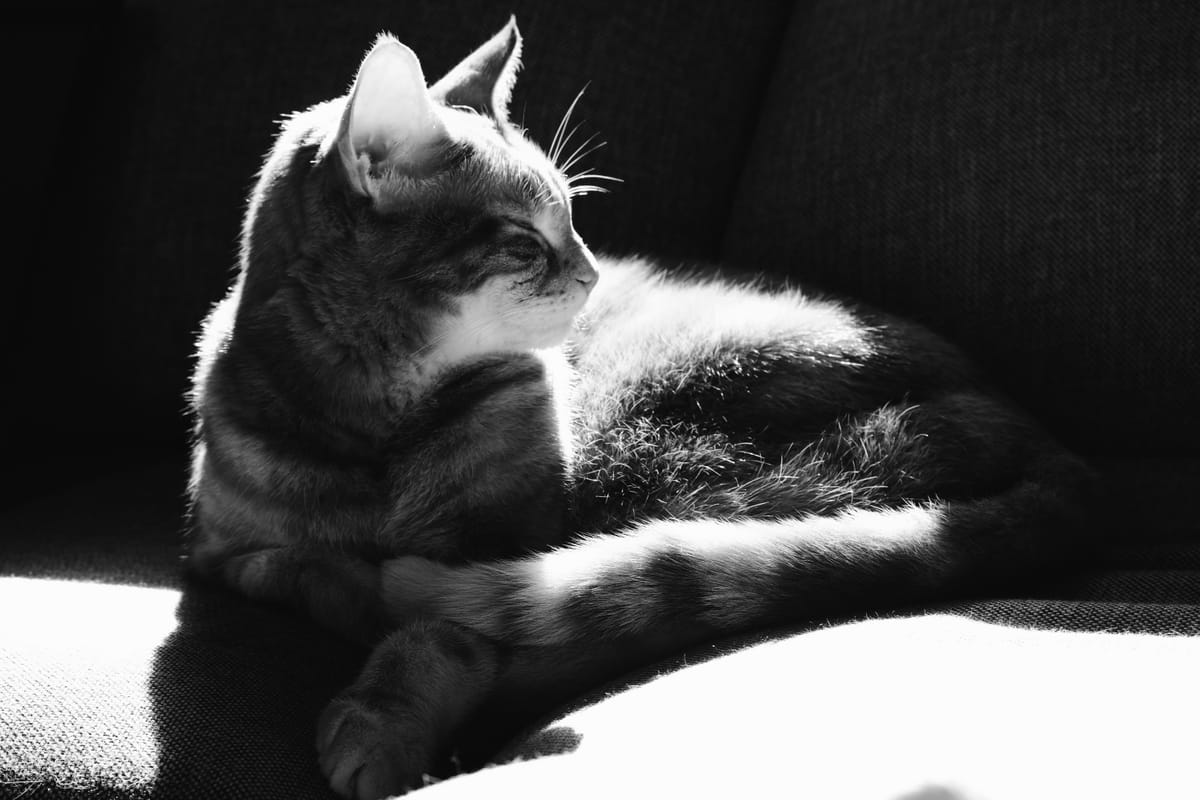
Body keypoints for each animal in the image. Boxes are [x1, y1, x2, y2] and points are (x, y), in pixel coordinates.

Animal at [187, 17, 1099, 800]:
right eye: (525, 239)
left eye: (574, 216)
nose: (594, 273)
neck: (374, 424)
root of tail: (1049, 443)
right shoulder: (222, 552)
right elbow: (280, 564)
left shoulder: (504, 546)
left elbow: (433, 632)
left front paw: (379, 721)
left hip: (666, 444)